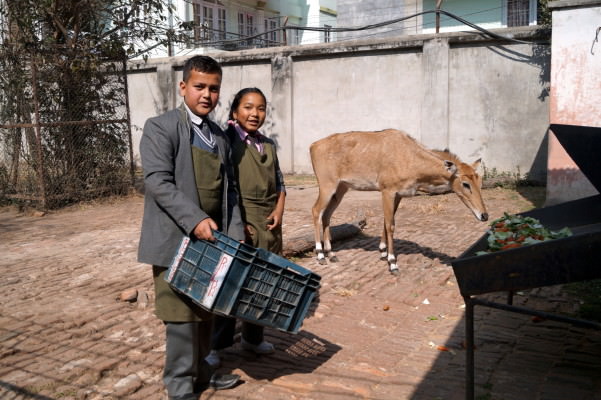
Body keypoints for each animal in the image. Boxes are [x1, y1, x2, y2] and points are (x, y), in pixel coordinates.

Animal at [310, 130, 488, 274]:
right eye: (465, 184)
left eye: (479, 182)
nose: (484, 215)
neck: (409, 157)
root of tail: (313, 145)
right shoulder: (387, 191)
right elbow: (390, 224)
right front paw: (392, 262)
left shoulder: (399, 194)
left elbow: (386, 221)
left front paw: (382, 252)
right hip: (327, 186)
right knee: (316, 211)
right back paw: (320, 255)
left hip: (341, 188)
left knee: (327, 215)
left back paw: (331, 254)